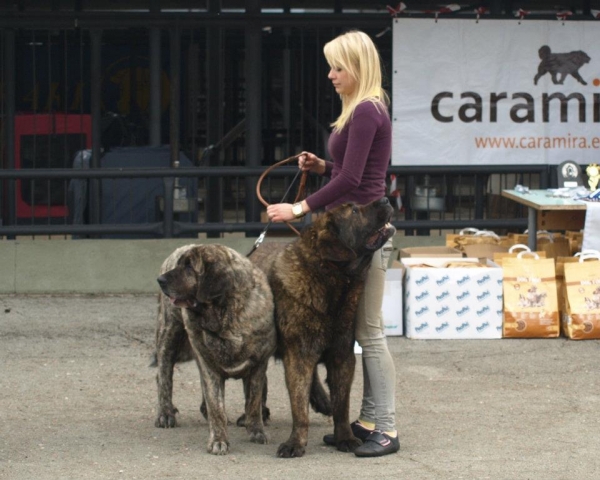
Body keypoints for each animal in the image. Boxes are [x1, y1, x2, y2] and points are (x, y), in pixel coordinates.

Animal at [155, 246, 276, 456]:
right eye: (180, 265)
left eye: (189, 266)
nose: (160, 279)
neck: (226, 314)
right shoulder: (211, 368)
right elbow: (216, 407)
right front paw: (219, 440)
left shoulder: (258, 365)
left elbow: (253, 401)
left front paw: (256, 430)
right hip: (170, 332)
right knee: (164, 374)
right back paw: (165, 412)